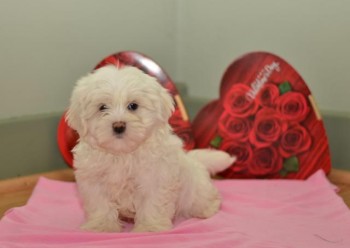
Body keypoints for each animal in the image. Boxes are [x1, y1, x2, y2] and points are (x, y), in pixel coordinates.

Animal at [66, 65, 235, 232]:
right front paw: (101, 226)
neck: (123, 154)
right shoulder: (93, 181)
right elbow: (100, 205)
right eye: (102, 107)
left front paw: (150, 227)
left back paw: (207, 208)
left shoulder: (156, 178)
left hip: (195, 192)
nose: (118, 126)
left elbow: (152, 204)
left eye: (133, 106)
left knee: (203, 199)